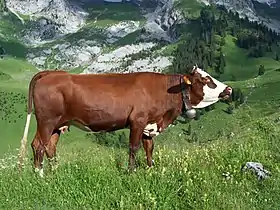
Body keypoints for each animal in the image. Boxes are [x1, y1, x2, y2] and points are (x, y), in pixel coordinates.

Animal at [18, 65, 232, 177]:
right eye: (205, 80)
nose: (229, 89)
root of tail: (50, 73)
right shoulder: (138, 121)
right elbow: (133, 147)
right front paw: (131, 172)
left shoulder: (149, 125)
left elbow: (149, 148)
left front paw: (150, 170)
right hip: (46, 121)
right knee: (38, 144)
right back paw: (40, 175)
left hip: (58, 124)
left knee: (50, 147)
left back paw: (55, 173)